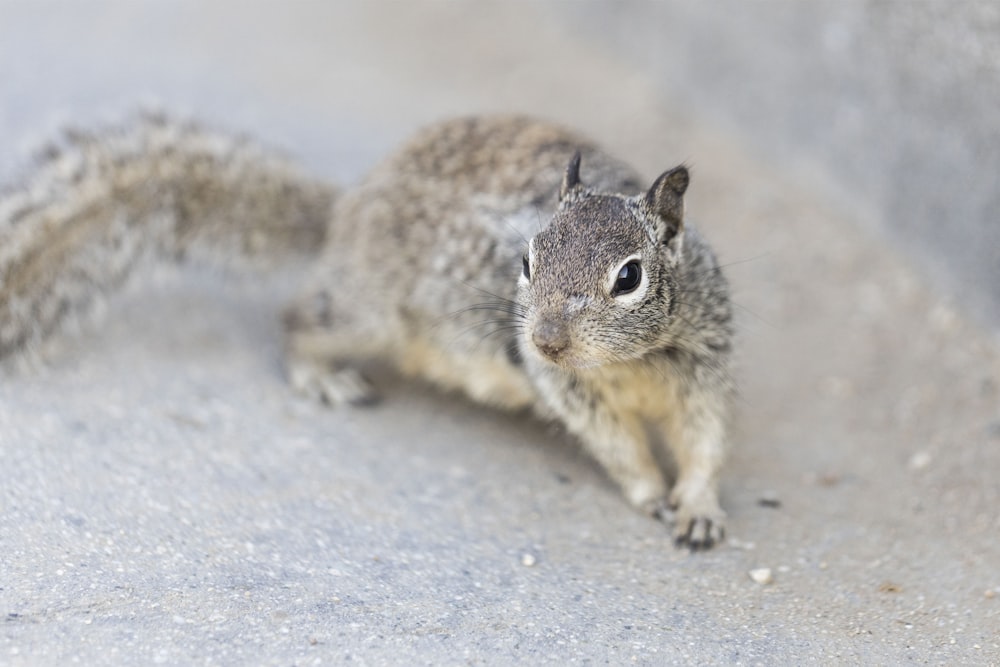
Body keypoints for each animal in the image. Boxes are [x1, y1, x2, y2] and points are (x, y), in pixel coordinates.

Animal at [0, 113, 736, 548]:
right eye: (525, 262)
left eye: (629, 277)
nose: (545, 341)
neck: (632, 362)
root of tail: (349, 206)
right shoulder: (570, 392)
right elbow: (617, 445)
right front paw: (651, 490)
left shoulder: (706, 366)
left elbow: (704, 441)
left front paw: (698, 504)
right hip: (369, 312)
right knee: (300, 318)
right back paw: (321, 374)